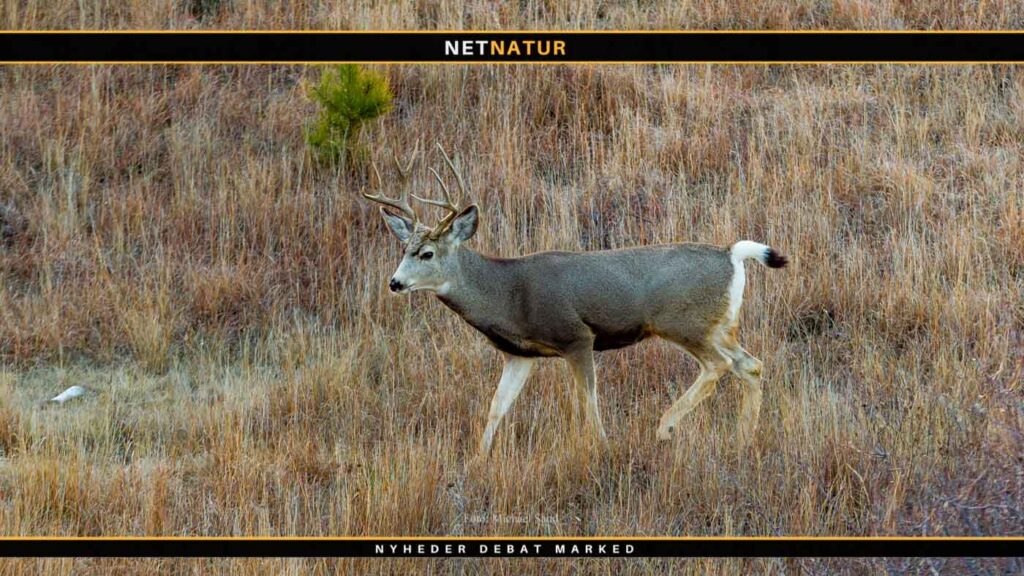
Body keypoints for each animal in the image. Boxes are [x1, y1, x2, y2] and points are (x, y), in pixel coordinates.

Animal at [363, 143, 788, 457]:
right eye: (404, 248)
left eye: (427, 254)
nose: (395, 283)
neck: (508, 294)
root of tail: (732, 254)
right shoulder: (520, 354)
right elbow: (497, 407)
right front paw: (478, 460)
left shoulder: (576, 336)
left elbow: (588, 402)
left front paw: (602, 447)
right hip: (719, 325)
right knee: (750, 365)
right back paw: (743, 438)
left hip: (684, 322)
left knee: (719, 366)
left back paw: (665, 427)